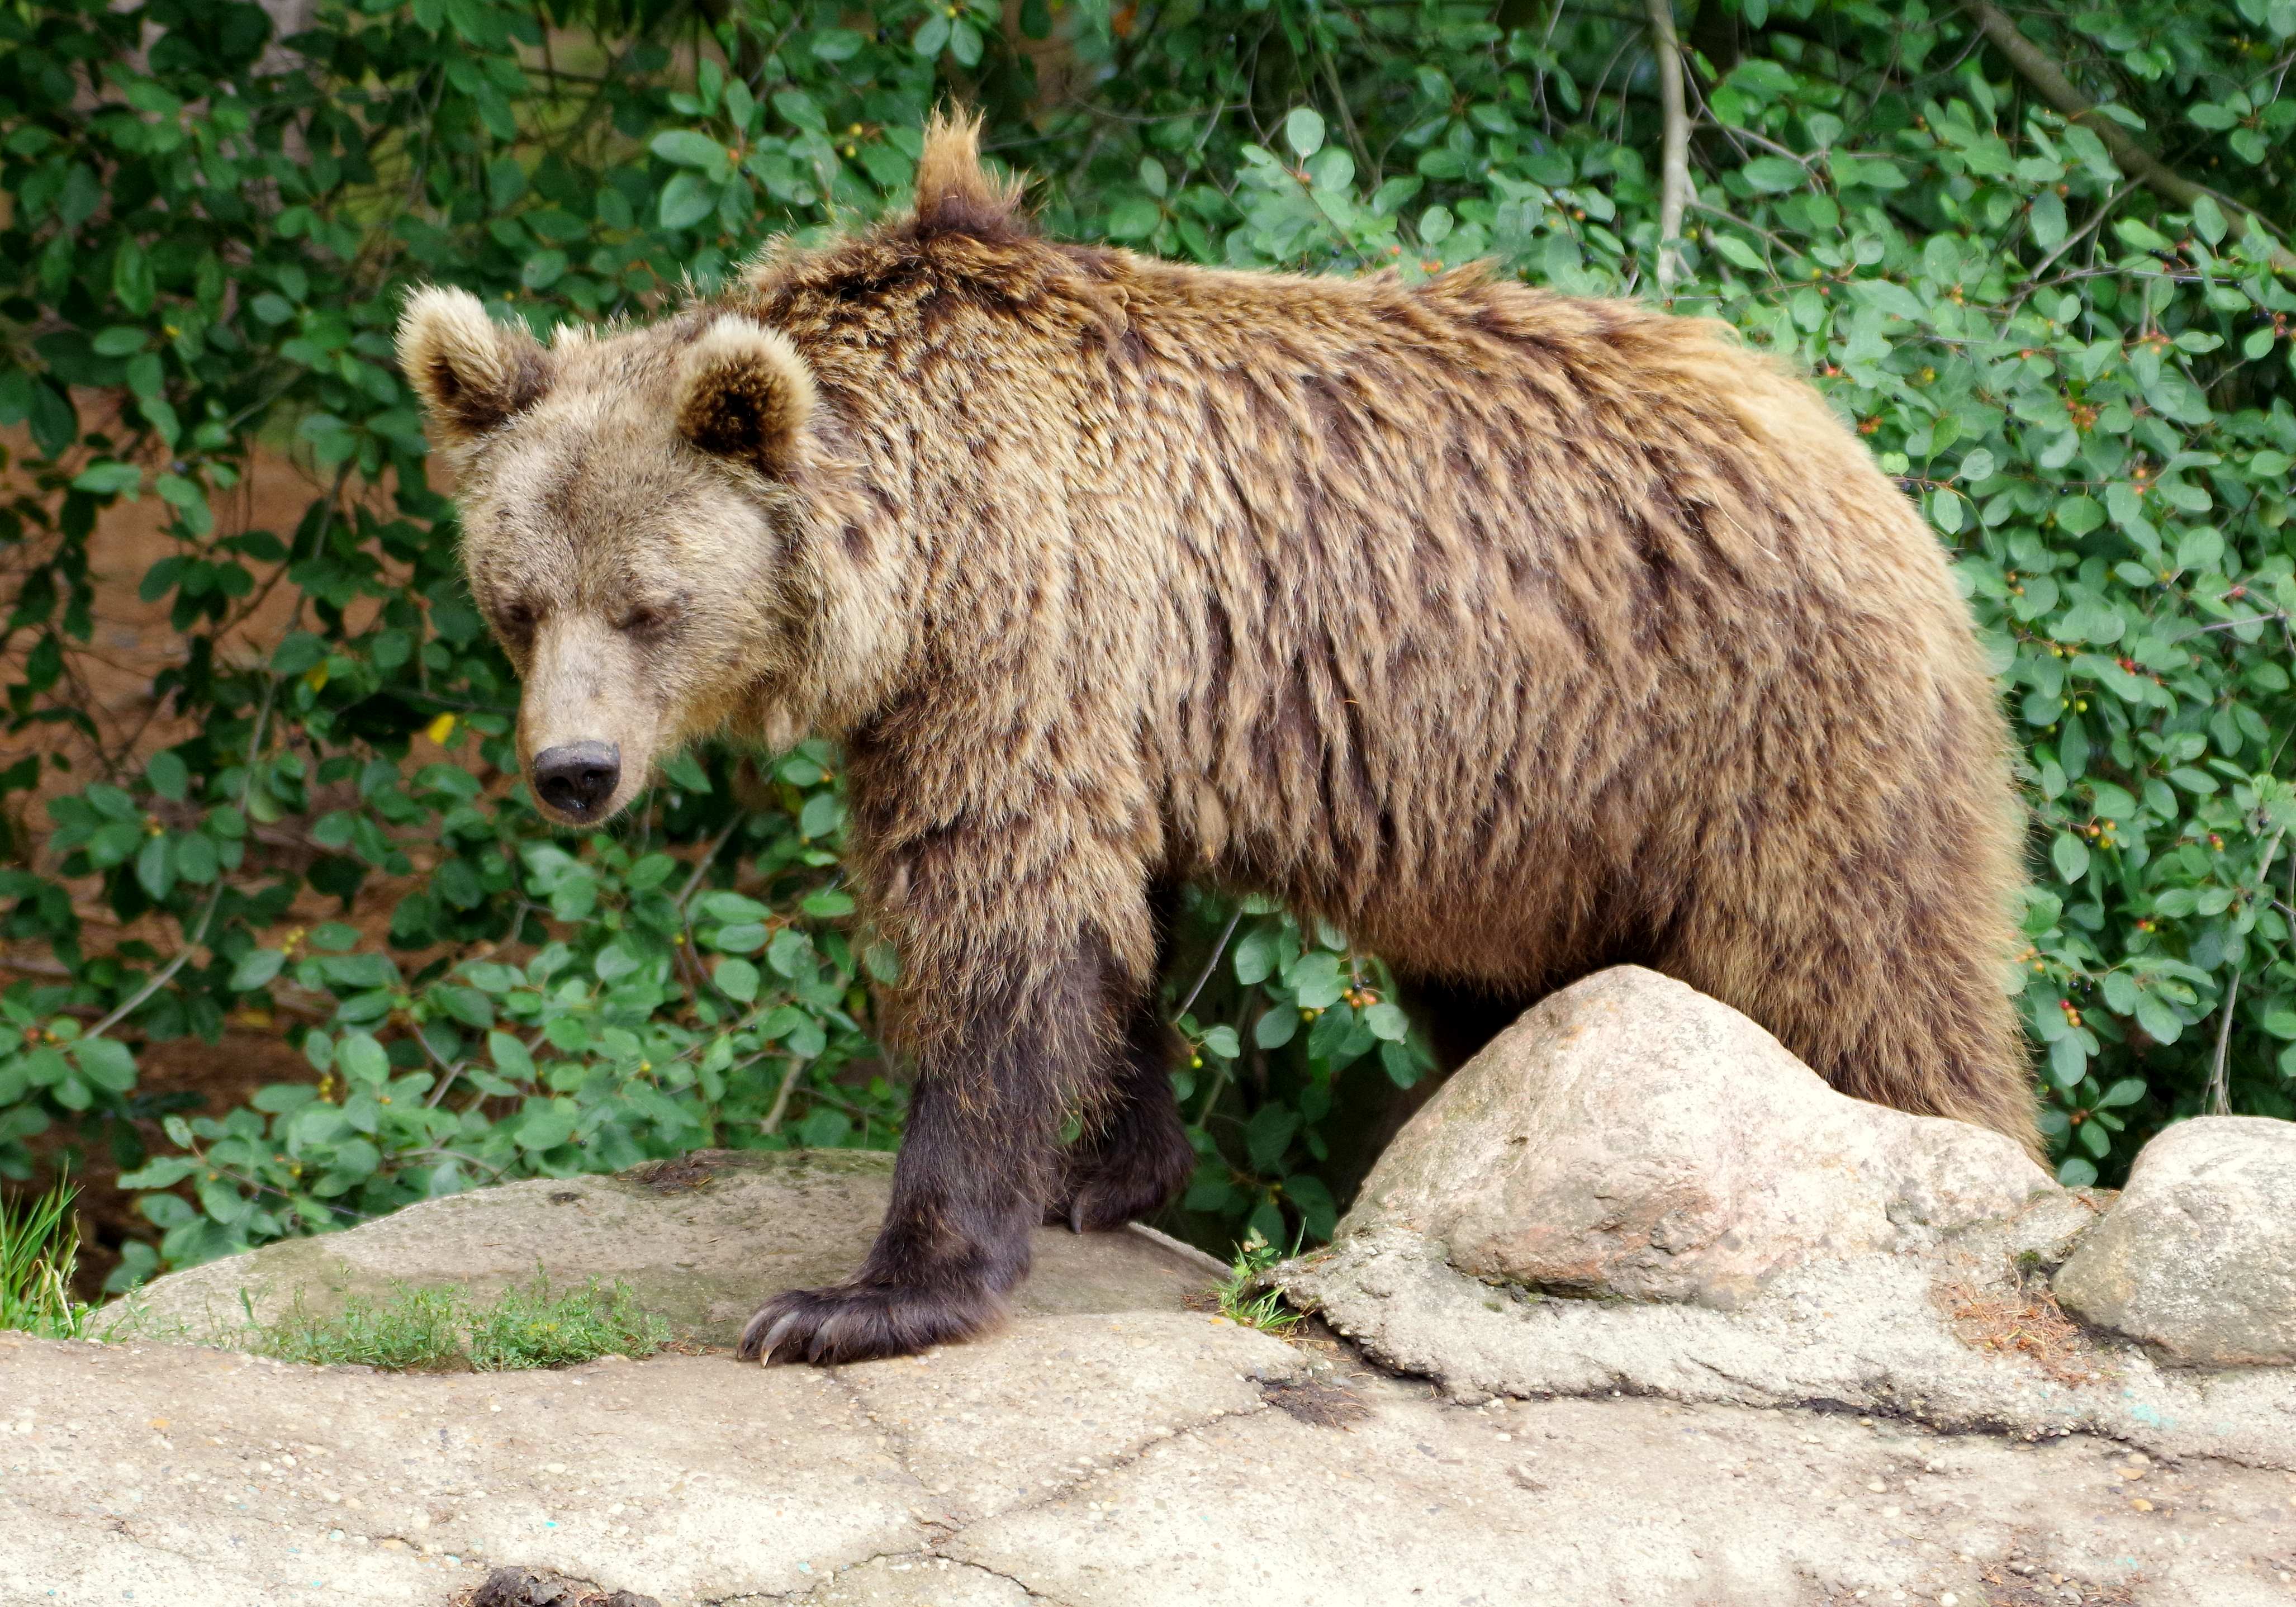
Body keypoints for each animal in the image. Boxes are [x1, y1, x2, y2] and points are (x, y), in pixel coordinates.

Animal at [404, 113, 2038, 1368]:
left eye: (649, 602)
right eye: (515, 600)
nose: (573, 771)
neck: (909, 561)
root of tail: (1862, 464)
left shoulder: (1026, 625)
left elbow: (999, 915)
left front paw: (861, 1294)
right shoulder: (1111, 687)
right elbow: (1115, 924)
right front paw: (1104, 1168)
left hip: (1750, 734)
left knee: (1859, 985)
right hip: (1531, 826)